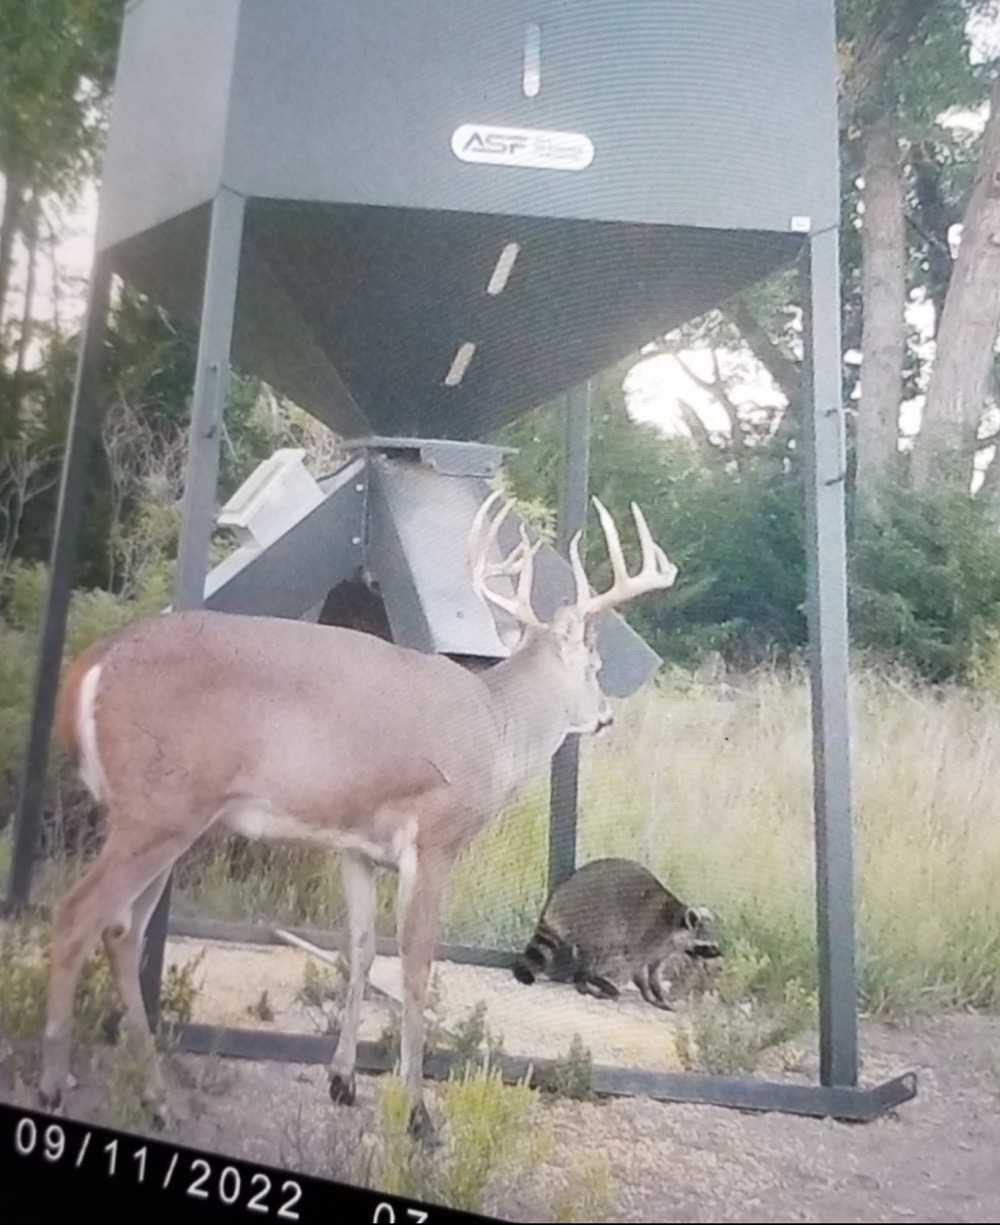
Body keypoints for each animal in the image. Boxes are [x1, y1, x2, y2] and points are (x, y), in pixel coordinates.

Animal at [37, 489, 677, 1140]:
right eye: (594, 667)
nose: (605, 716)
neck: (496, 728)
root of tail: (90, 667)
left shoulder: (356, 848)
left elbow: (362, 951)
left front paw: (342, 1080)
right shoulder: (436, 839)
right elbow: (416, 965)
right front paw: (419, 1114)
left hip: (171, 820)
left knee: (121, 932)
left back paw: (157, 1100)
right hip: (156, 811)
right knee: (76, 914)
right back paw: (54, 1084)